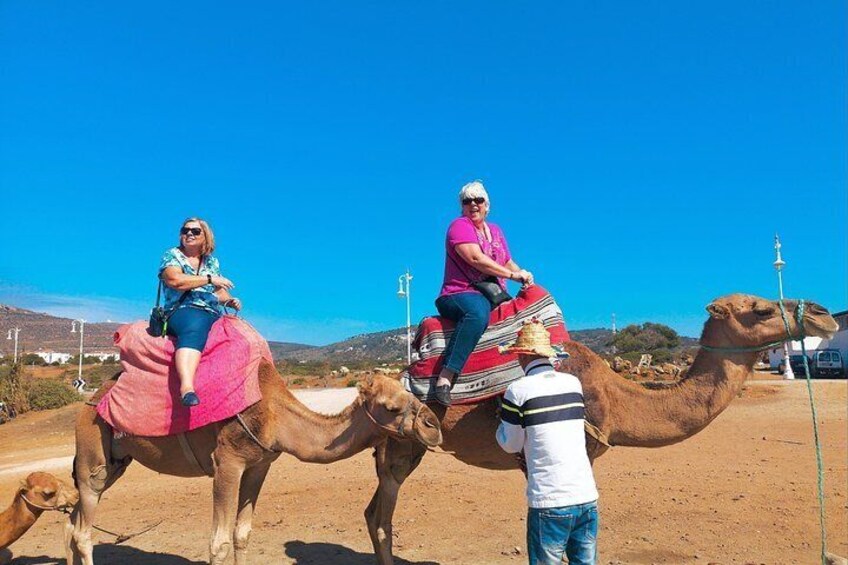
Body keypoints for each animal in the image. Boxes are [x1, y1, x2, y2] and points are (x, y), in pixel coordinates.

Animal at [66, 368, 444, 560]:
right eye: (391, 406)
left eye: (410, 393)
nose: (433, 426)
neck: (277, 417)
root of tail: (89, 401)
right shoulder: (227, 463)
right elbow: (218, 543)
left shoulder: (260, 465)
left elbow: (241, 535)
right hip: (92, 451)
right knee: (83, 531)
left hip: (118, 461)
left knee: (72, 522)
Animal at [362, 296, 840, 564]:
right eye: (761, 308)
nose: (824, 315)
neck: (618, 397)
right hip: (403, 439)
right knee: (383, 517)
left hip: (409, 445)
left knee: (374, 512)